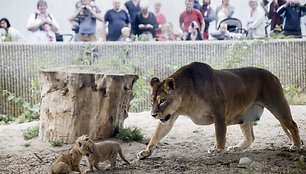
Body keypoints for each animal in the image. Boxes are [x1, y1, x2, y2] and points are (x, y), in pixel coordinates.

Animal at [137, 61, 302, 160]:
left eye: (162, 101)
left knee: (293, 125)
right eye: (152, 101)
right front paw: (146, 152)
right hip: (245, 114)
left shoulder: (219, 109)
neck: (185, 101)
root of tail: (273, 75)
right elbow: (156, 135)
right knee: (250, 137)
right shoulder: (169, 117)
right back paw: (236, 147)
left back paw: (296, 145)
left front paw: (218, 149)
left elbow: (220, 132)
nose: (153, 114)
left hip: (277, 105)